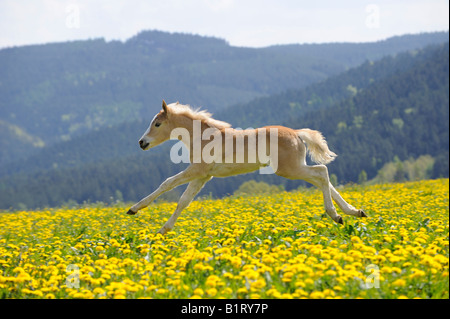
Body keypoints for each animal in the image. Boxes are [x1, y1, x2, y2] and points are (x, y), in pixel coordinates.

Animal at [126, 100, 366, 235]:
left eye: (157, 124)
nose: (141, 142)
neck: (203, 137)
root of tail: (298, 133)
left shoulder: (198, 171)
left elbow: (167, 184)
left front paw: (134, 209)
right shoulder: (204, 176)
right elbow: (184, 201)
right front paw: (163, 230)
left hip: (289, 169)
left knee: (322, 173)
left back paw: (336, 214)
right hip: (295, 167)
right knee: (323, 179)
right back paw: (352, 212)